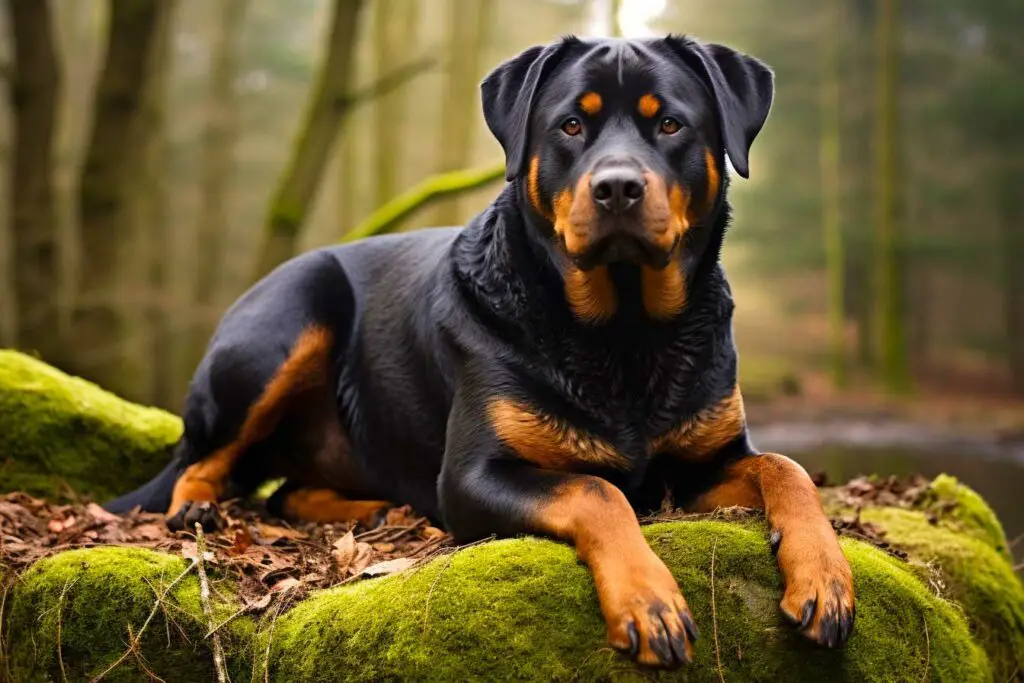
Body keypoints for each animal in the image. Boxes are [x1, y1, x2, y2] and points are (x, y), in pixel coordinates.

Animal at [105, 36, 856, 667]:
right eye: (571, 126)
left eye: (670, 124)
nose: (617, 186)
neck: (625, 332)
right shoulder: (473, 476)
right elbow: (599, 489)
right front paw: (649, 599)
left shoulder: (701, 462)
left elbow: (787, 467)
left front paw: (825, 577)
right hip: (285, 320)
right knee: (200, 460)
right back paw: (199, 509)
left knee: (287, 490)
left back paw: (373, 509)